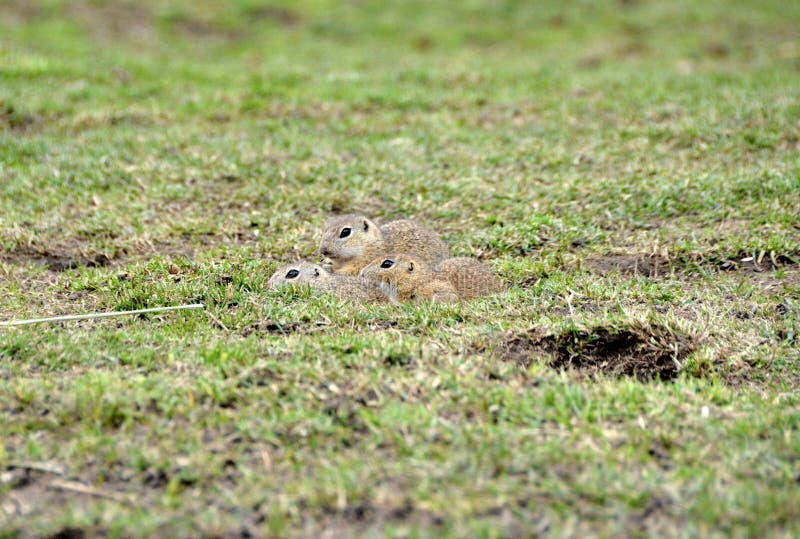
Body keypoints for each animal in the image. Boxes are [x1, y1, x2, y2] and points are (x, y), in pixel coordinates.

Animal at [316, 214, 450, 276]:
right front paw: (325, 262)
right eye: (326, 228)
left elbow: (350, 270)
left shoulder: (365, 261)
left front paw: (328, 267)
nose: (323, 250)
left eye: (345, 231)